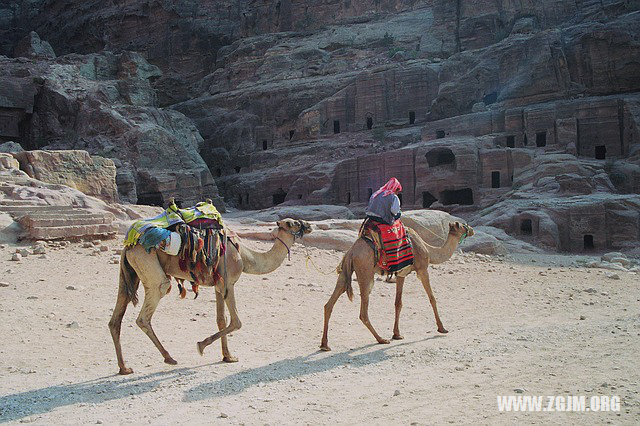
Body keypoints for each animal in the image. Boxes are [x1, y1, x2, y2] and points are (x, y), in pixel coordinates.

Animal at [109, 218, 312, 374]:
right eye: (293, 223)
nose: (309, 225)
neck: (246, 257)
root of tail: (128, 246)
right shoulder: (228, 283)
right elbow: (236, 322)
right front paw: (201, 345)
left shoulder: (218, 285)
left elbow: (221, 319)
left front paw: (228, 356)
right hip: (149, 267)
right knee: (148, 308)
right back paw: (169, 358)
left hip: (130, 273)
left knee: (116, 318)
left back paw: (124, 367)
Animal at [320, 221, 476, 352]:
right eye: (463, 225)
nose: (472, 230)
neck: (429, 250)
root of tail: (351, 252)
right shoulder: (422, 269)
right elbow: (432, 298)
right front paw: (442, 328)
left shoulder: (401, 274)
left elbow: (398, 303)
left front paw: (397, 334)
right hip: (366, 272)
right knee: (363, 312)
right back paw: (381, 339)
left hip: (345, 272)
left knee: (329, 303)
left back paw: (324, 345)